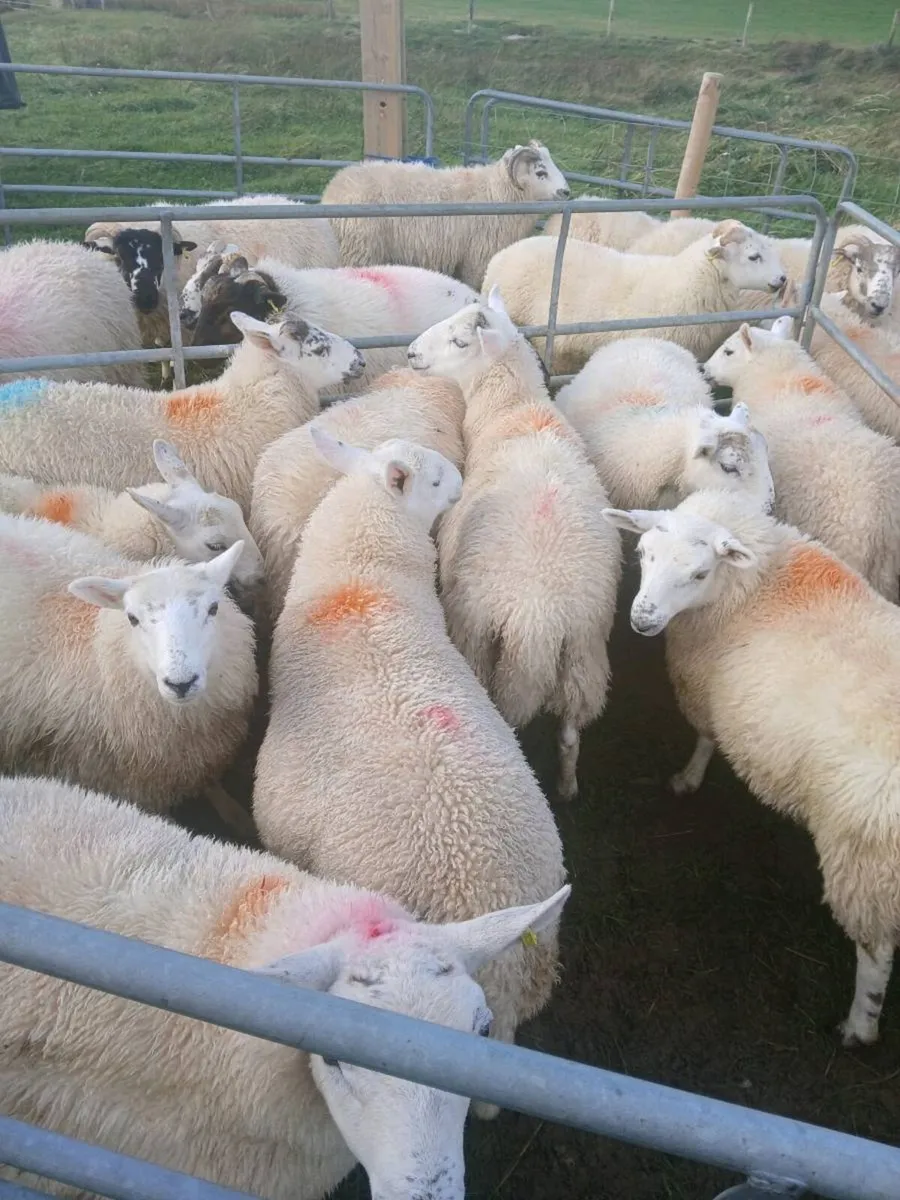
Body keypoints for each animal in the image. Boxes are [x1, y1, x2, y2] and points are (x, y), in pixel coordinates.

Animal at [319, 141, 570, 290]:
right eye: (540, 172)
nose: (566, 192)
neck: (495, 192)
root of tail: (333, 190)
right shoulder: (477, 259)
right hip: (359, 251)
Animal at [407, 288, 621, 800]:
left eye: (460, 341)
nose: (410, 353)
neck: (516, 410)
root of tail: (541, 619)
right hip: (583, 657)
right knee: (570, 734)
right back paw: (567, 787)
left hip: (481, 640)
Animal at [603, 488, 900, 1047]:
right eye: (644, 555)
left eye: (700, 573)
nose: (643, 620)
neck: (757, 586)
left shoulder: (706, 688)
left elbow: (705, 738)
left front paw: (688, 779)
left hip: (864, 859)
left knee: (874, 954)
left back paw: (859, 1025)